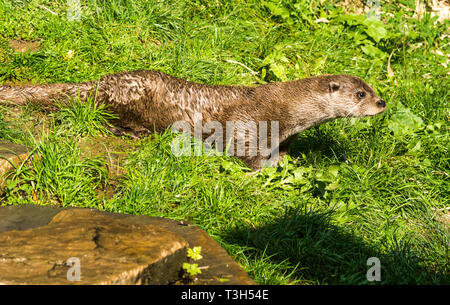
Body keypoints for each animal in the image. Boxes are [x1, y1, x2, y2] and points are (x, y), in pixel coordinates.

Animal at [0, 70, 386, 169]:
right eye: (360, 94)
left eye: (372, 87)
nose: (382, 102)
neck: (288, 112)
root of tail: (99, 81)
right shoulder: (250, 123)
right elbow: (244, 150)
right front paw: (264, 169)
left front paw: (285, 158)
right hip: (127, 97)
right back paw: (133, 133)